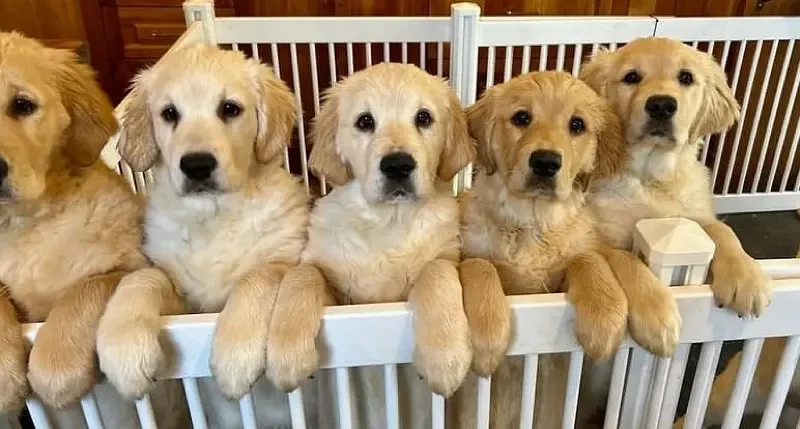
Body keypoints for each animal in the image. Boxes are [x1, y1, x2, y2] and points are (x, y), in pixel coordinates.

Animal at [92, 44, 320, 428]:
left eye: (230, 108)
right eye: (169, 113)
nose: (196, 165)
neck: (213, 216)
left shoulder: (282, 256)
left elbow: (257, 276)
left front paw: (235, 355)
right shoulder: (180, 296)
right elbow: (144, 277)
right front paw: (124, 349)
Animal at [306, 61, 476, 426]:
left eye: (423, 117)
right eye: (365, 121)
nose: (397, 165)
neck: (389, 221)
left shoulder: (446, 253)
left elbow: (438, 272)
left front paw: (445, 357)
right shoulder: (337, 291)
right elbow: (306, 274)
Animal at [450, 72, 680, 426]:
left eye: (576, 125)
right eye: (521, 118)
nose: (546, 162)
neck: (531, 221)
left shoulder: (584, 246)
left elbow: (597, 256)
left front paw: (634, 318)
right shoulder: (470, 248)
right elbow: (480, 264)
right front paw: (488, 339)